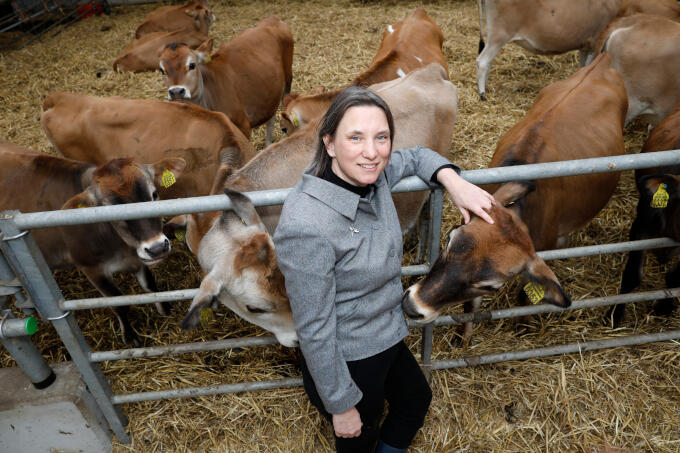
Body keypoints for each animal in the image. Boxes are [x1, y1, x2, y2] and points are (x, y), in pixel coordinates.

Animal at [0, 143, 185, 344]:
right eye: (110, 210)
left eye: (154, 194)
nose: (157, 248)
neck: (120, 247)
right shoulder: (91, 268)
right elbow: (119, 303)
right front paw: (130, 337)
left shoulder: (137, 257)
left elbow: (150, 285)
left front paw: (165, 309)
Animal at [161, 16, 296, 145]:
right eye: (162, 70)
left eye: (192, 65)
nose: (176, 91)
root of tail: (272, 19)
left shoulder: (243, 125)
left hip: (288, 76)